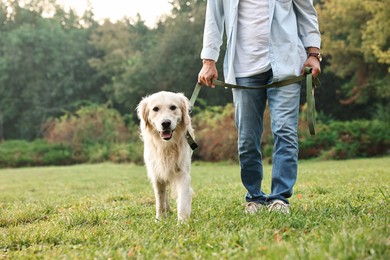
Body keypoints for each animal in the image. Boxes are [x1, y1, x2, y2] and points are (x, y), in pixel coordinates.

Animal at [136, 91, 194, 221]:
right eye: (155, 109)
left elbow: (183, 200)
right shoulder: (157, 173)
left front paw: (182, 221)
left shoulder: (183, 173)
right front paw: (160, 219)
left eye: (173, 107)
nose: (166, 123)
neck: (166, 146)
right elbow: (160, 199)